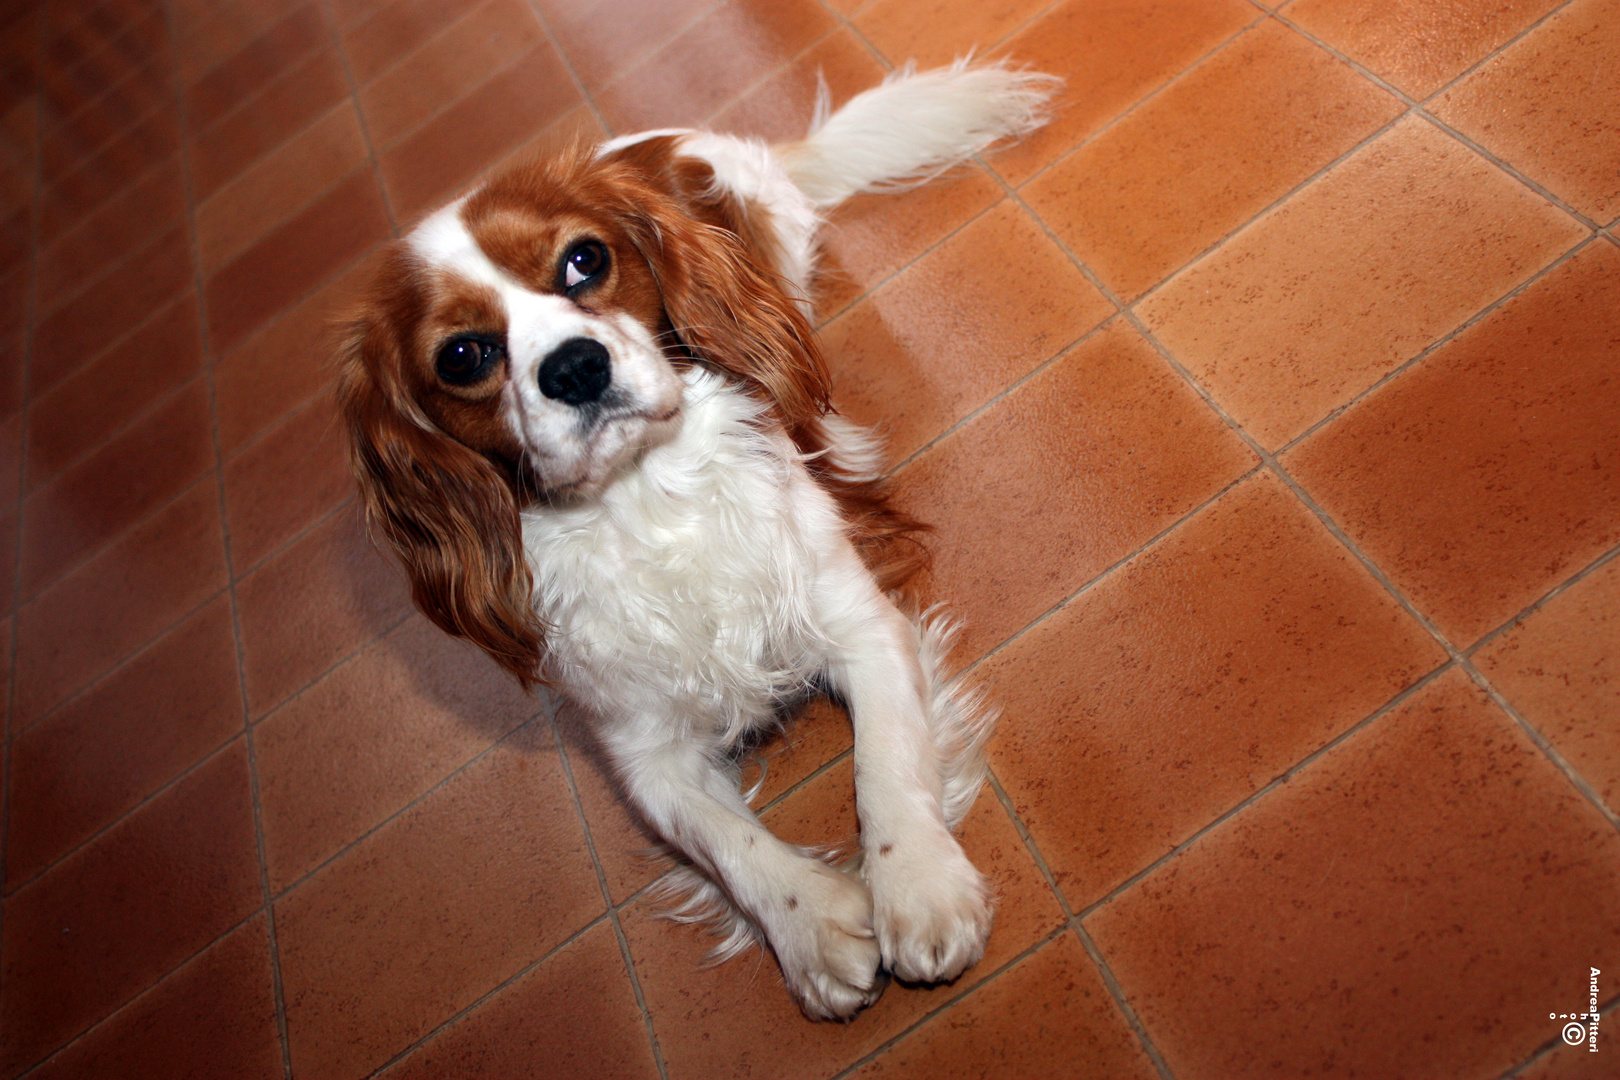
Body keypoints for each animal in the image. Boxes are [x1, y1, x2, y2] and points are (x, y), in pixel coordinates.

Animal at [335, 61, 1056, 1023]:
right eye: (461, 356)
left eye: (585, 260)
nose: (574, 367)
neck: (647, 501)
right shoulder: (646, 759)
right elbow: (725, 843)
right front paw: (813, 926)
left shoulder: (861, 624)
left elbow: (886, 761)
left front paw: (918, 887)